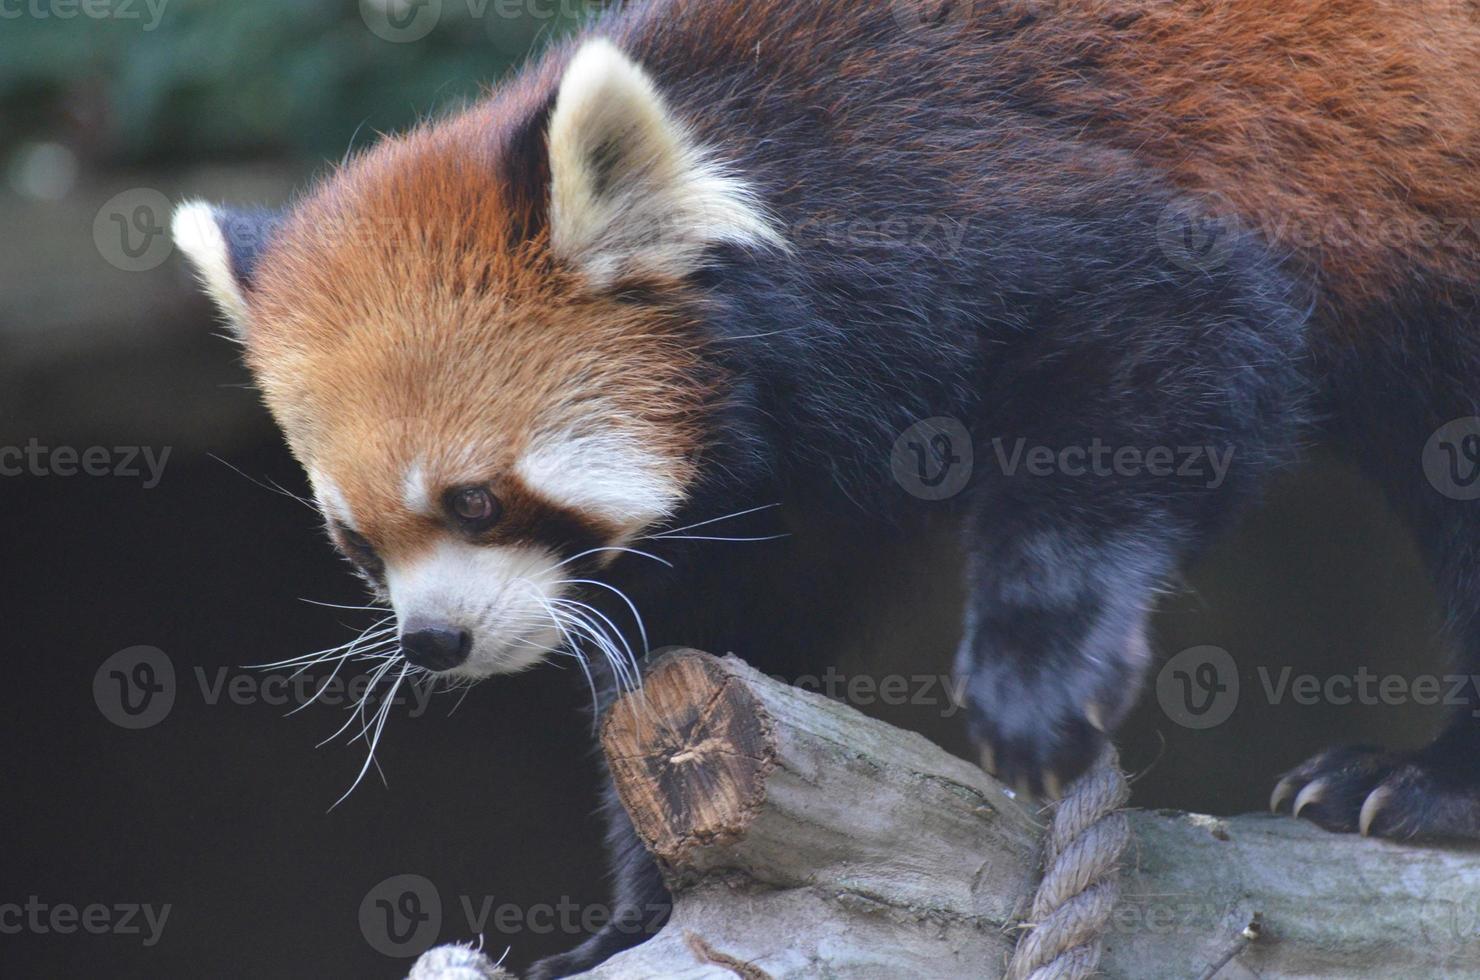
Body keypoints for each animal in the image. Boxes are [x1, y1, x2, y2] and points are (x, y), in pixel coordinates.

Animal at [179, 3, 1480, 977]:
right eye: (357, 543)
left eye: (474, 501)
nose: (434, 640)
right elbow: (713, 641)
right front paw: (643, 908)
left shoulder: (957, 188)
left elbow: (1187, 333)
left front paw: (1034, 675)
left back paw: (1425, 779)